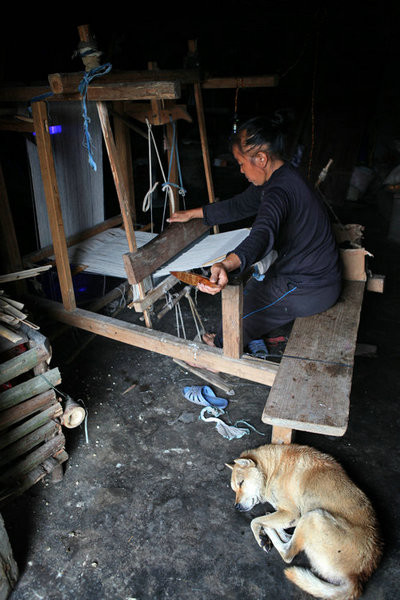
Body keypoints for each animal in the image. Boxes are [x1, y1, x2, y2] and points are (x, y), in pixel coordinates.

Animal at [227, 440, 382, 600]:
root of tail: (357, 577)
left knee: (287, 553)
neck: (271, 469)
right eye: (234, 489)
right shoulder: (289, 515)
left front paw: (261, 536)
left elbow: (254, 521)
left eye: (241, 483)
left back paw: (269, 532)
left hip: (314, 515)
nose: (236, 506)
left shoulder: (292, 513)